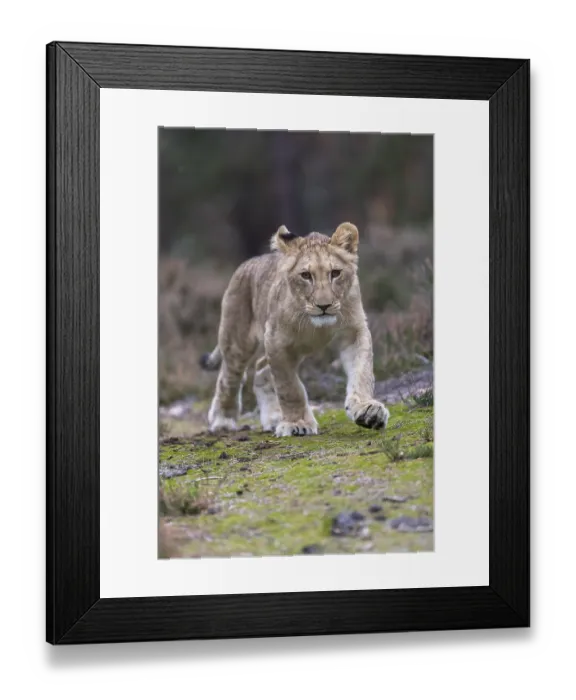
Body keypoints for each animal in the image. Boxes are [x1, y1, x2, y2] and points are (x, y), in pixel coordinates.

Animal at [200, 222, 390, 437]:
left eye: (335, 273)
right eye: (306, 275)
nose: (324, 305)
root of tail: (245, 265)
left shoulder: (354, 332)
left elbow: (362, 372)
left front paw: (368, 411)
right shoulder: (277, 342)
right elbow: (290, 388)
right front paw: (297, 423)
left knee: (261, 368)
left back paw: (273, 418)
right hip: (237, 341)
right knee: (229, 377)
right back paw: (222, 420)